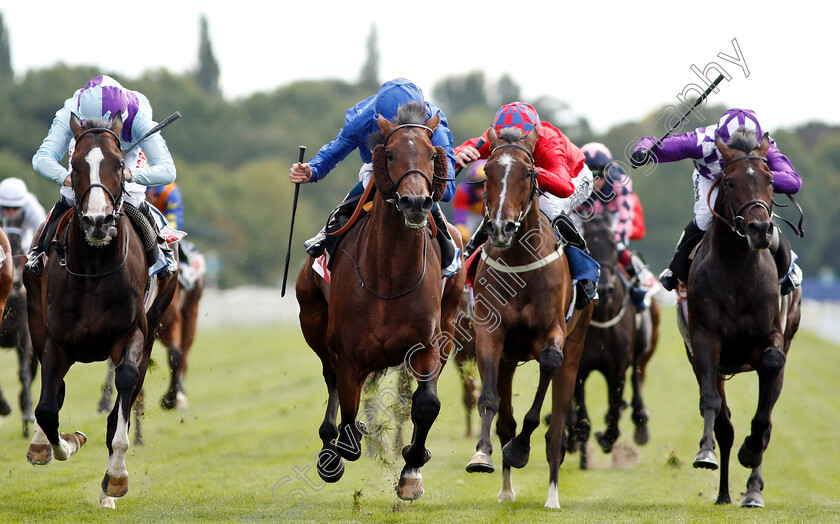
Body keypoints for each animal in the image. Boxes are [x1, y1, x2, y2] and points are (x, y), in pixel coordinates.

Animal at [23, 113, 177, 508]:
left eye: (120, 165)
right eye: (75, 165)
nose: (97, 221)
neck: (93, 268)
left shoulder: (132, 335)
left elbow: (123, 391)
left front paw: (116, 480)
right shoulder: (56, 342)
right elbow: (48, 408)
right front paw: (63, 442)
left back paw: (108, 489)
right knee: (52, 393)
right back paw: (40, 443)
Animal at [296, 101, 466, 500]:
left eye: (433, 154)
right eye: (389, 154)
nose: (416, 202)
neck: (390, 276)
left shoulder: (427, 344)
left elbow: (426, 404)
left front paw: (412, 469)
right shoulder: (349, 352)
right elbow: (348, 412)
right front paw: (340, 448)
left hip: (451, 324)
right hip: (312, 320)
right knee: (329, 376)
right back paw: (329, 447)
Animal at [462, 126, 592, 508]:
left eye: (529, 174)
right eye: (488, 172)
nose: (501, 228)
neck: (520, 259)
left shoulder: (554, 335)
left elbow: (543, 386)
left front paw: (519, 449)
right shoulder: (491, 335)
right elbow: (489, 400)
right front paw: (482, 454)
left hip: (575, 351)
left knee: (557, 432)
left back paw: (552, 496)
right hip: (508, 359)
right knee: (506, 419)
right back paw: (506, 489)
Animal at [568, 213, 660, 466]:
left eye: (613, 246)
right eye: (590, 243)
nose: (605, 288)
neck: (602, 316)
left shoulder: (616, 369)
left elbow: (614, 407)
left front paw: (607, 437)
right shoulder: (579, 367)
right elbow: (582, 416)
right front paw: (578, 439)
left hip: (644, 345)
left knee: (637, 377)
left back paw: (640, 420)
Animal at [676, 129, 800, 510]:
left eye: (771, 179)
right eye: (729, 182)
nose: (760, 229)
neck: (736, 270)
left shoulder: (771, 338)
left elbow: (764, 414)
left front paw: (751, 452)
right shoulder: (704, 341)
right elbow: (712, 405)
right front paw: (705, 453)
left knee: (767, 416)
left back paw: (753, 490)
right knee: (726, 425)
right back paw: (724, 493)